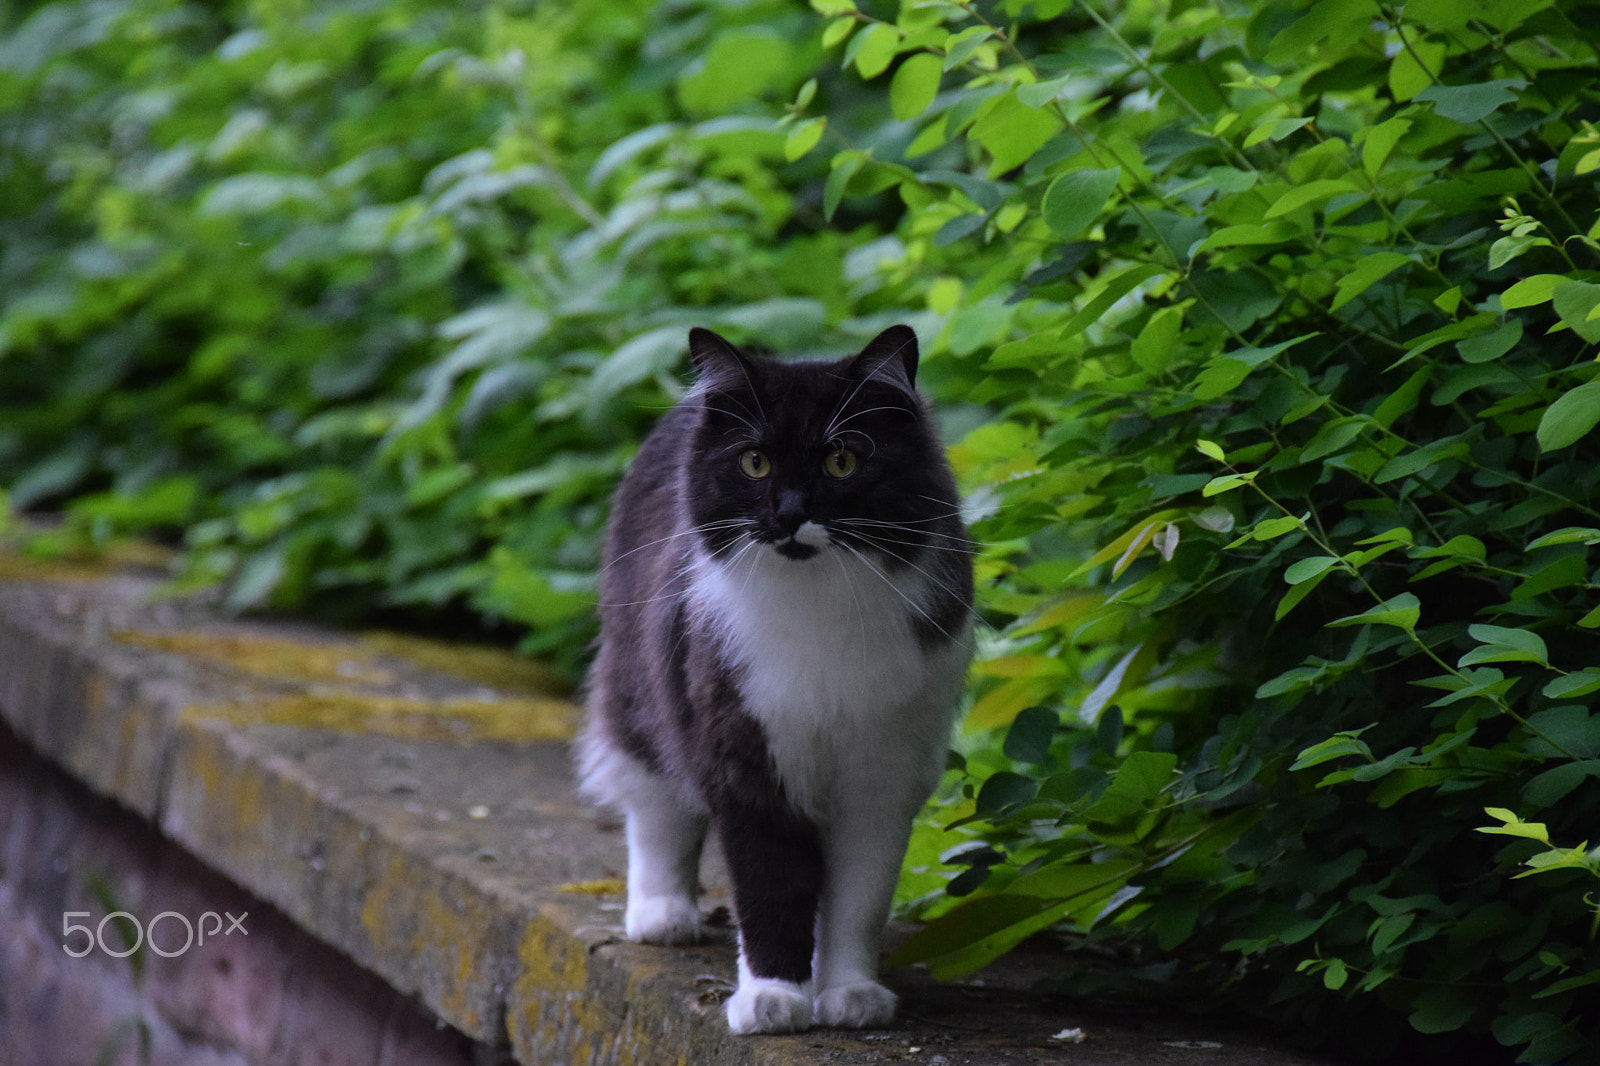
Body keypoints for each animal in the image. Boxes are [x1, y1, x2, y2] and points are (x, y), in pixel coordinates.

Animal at [579, 321, 972, 1030]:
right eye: (754, 463)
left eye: (842, 462)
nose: (789, 514)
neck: (817, 604)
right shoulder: (745, 758)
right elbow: (768, 883)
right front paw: (773, 998)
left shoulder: (884, 775)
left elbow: (860, 899)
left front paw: (849, 995)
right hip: (639, 689)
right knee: (653, 805)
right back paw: (663, 916)